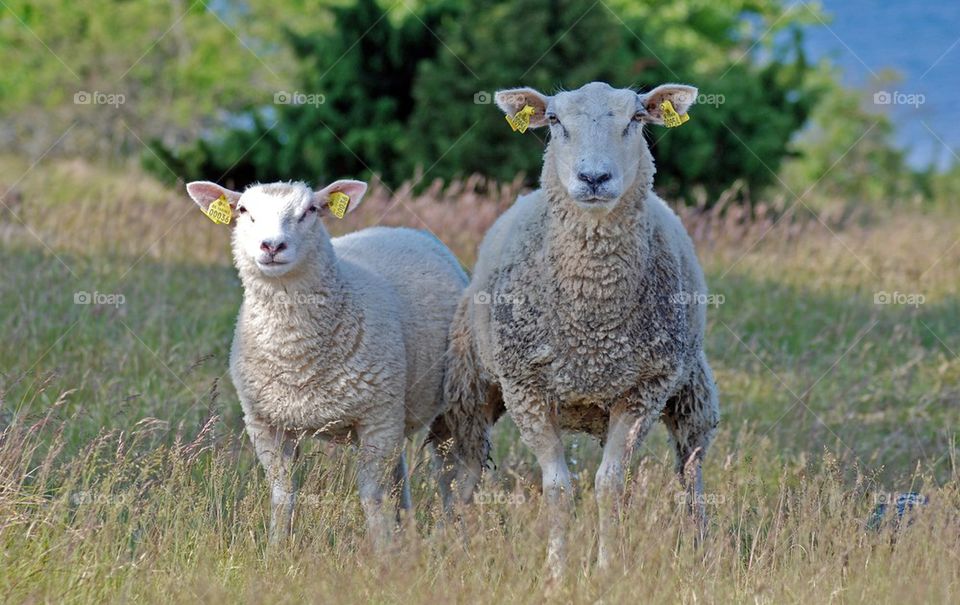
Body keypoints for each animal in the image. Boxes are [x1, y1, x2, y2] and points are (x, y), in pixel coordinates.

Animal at [185, 178, 468, 549]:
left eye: (310, 211)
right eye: (244, 210)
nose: (272, 245)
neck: (297, 356)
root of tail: (404, 230)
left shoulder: (376, 418)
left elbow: (372, 498)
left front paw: (383, 554)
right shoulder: (265, 423)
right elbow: (282, 495)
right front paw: (276, 550)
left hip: (444, 400)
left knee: (449, 472)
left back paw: (452, 535)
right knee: (399, 477)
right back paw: (407, 535)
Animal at [434, 81, 720, 576]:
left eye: (636, 119)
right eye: (554, 121)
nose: (594, 178)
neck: (593, 321)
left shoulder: (643, 389)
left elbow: (609, 485)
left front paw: (605, 571)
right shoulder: (526, 388)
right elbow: (558, 489)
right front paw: (557, 572)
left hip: (689, 390)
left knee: (691, 469)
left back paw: (699, 544)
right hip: (470, 387)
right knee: (466, 472)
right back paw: (455, 542)